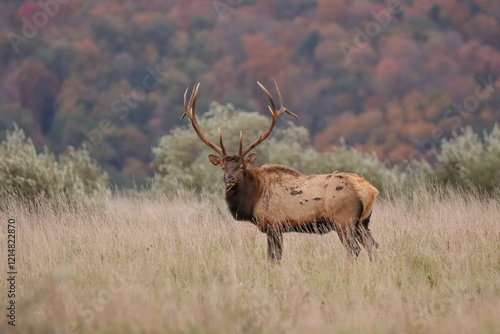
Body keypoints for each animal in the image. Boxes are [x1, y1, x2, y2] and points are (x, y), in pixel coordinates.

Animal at [181, 81, 378, 264]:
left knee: (353, 249)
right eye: (223, 167)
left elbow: (273, 257)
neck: (254, 198)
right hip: (363, 222)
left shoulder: (273, 224)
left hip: (344, 219)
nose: (229, 178)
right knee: (373, 246)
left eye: (241, 167)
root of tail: (370, 191)